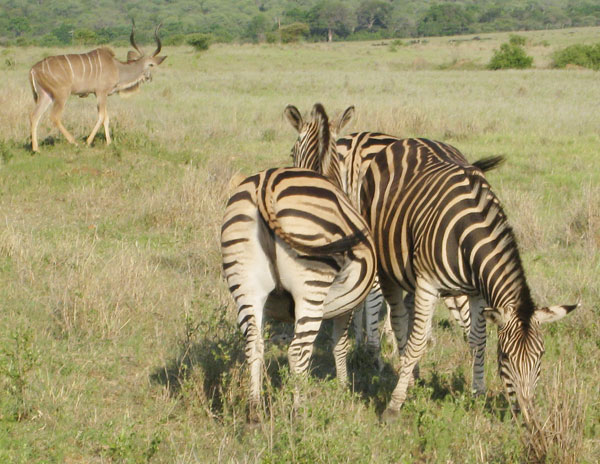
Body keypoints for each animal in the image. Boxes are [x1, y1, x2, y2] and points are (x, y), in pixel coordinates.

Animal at [29, 22, 166, 152]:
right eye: (151, 65)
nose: (149, 78)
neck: (117, 68)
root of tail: (33, 69)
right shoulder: (101, 92)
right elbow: (101, 116)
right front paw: (88, 141)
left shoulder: (99, 94)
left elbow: (106, 117)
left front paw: (109, 142)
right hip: (61, 94)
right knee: (54, 116)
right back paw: (74, 142)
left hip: (45, 95)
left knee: (35, 115)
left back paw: (36, 149)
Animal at [220, 166, 376, 420]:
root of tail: (266, 183)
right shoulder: (346, 307)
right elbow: (340, 344)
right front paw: (343, 388)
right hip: (311, 286)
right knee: (297, 351)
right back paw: (299, 411)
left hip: (246, 285)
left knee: (254, 345)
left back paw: (254, 409)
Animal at [358, 137, 580, 420]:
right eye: (505, 357)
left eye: (540, 356)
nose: (525, 413)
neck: (468, 232)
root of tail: (409, 140)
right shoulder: (428, 284)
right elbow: (417, 342)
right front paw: (394, 405)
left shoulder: (477, 292)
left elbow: (477, 341)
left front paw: (478, 394)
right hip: (388, 267)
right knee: (398, 318)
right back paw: (405, 376)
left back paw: (414, 374)